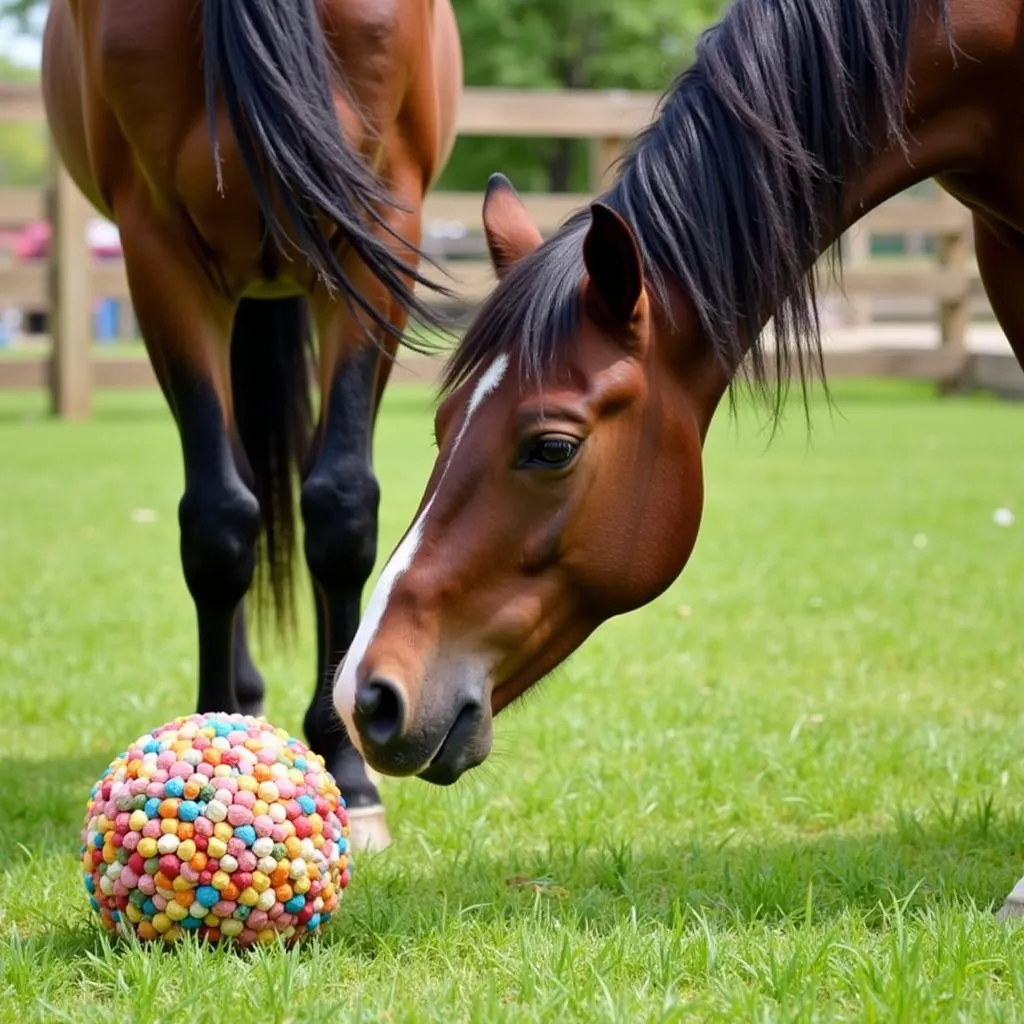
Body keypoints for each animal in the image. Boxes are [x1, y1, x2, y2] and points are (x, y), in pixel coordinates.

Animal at [41, 0, 462, 851]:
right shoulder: (156, 246)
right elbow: (216, 521)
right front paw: (211, 732)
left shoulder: (377, 227)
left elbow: (340, 507)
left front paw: (351, 772)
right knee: (234, 489)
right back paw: (240, 695)